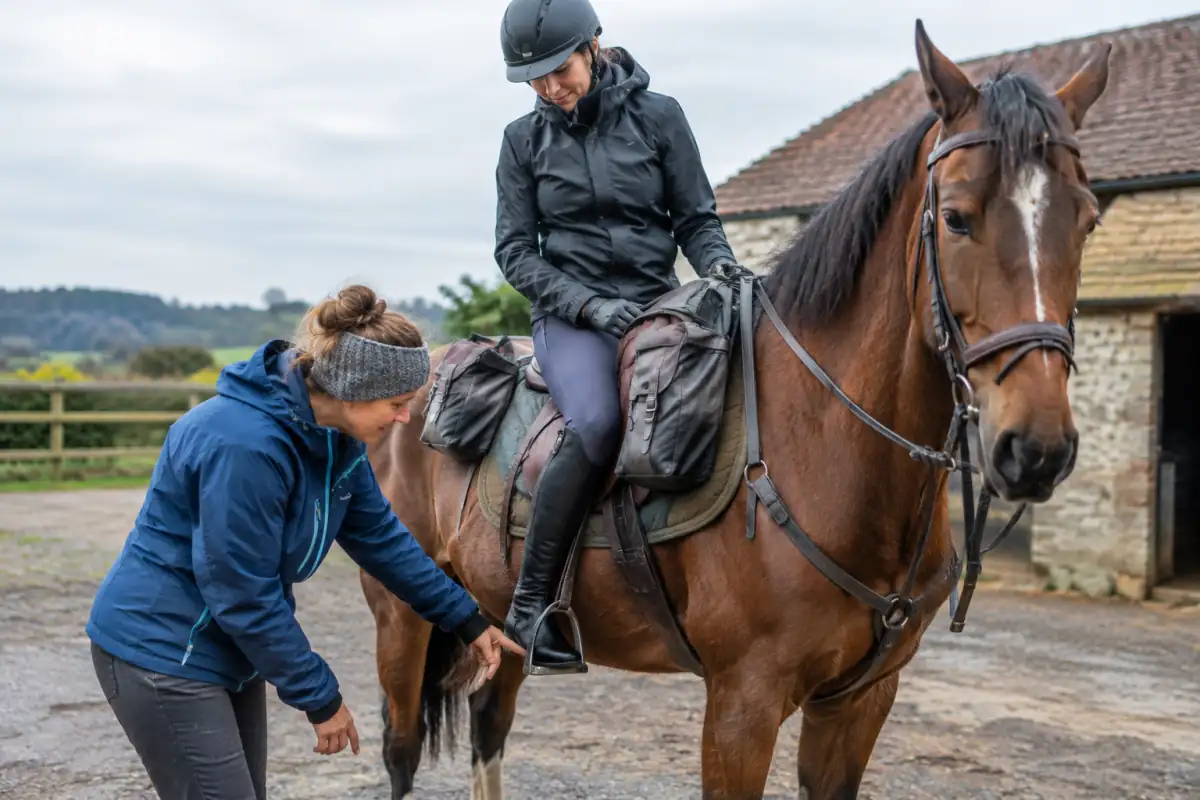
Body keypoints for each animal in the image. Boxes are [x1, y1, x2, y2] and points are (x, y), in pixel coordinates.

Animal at [358, 20, 1111, 799]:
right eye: (957, 219)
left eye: (1088, 219)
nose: (1037, 447)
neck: (824, 449)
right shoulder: (742, 704)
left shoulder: (860, 702)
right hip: (402, 617)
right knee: (401, 750)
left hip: (496, 623)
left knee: (489, 728)